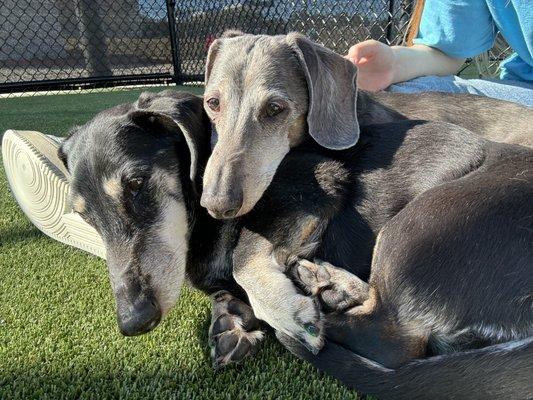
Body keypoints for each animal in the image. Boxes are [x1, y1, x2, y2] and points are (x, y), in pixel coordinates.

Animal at [60, 89, 528, 398]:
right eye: (83, 214)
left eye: (137, 183)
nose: (133, 322)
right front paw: (231, 316)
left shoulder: (313, 186)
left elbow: (244, 255)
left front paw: (284, 309)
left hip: (418, 227)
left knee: (388, 340)